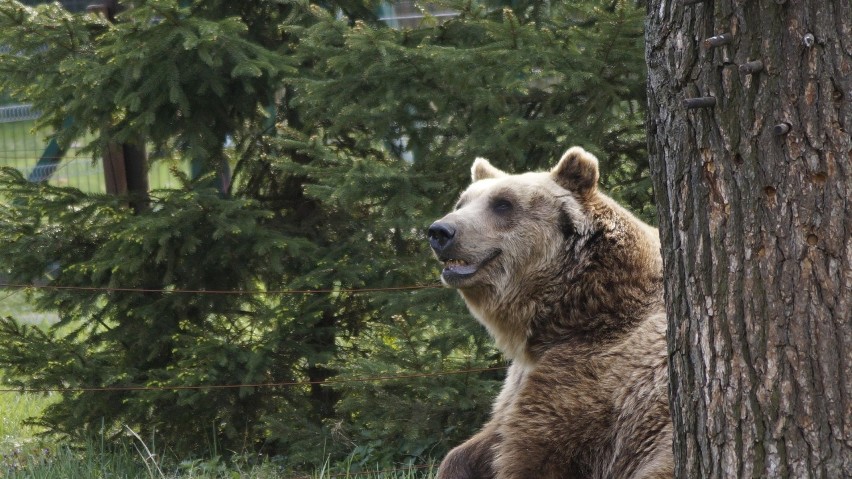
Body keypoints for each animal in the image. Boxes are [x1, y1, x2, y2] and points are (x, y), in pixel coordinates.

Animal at [426, 147, 672, 479]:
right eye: (462, 202)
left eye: (503, 204)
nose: (440, 231)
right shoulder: (517, 383)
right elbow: (475, 445)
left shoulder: (588, 377)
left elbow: (532, 451)